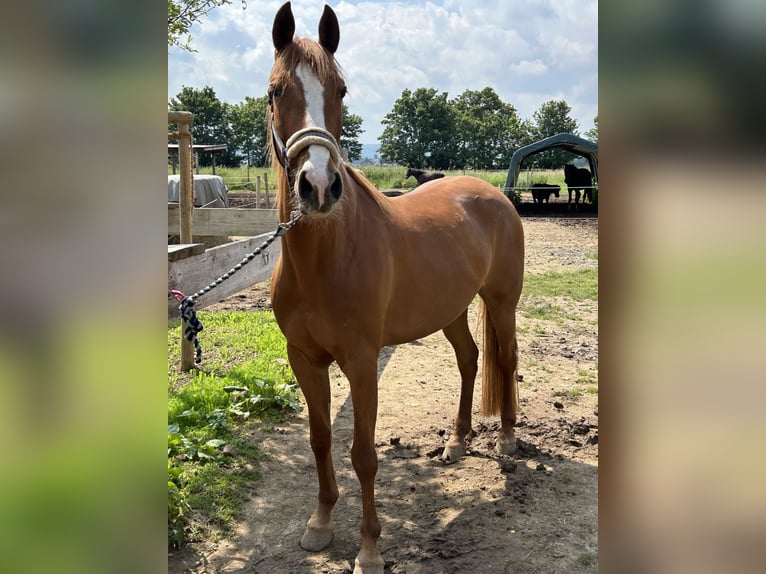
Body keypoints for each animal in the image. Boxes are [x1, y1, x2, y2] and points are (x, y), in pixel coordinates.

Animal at [268, 2, 524, 572]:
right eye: (275, 91)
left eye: (341, 90)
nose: (319, 187)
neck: (324, 258)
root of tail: (492, 194)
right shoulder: (304, 359)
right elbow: (320, 439)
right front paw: (320, 524)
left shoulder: (363, 361)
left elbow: (364, 454)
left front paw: (369, 549)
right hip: (450, 310)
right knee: (470, 359)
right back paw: (456, 441)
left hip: (501, 303)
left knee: (505, 361)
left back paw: (507, 440)